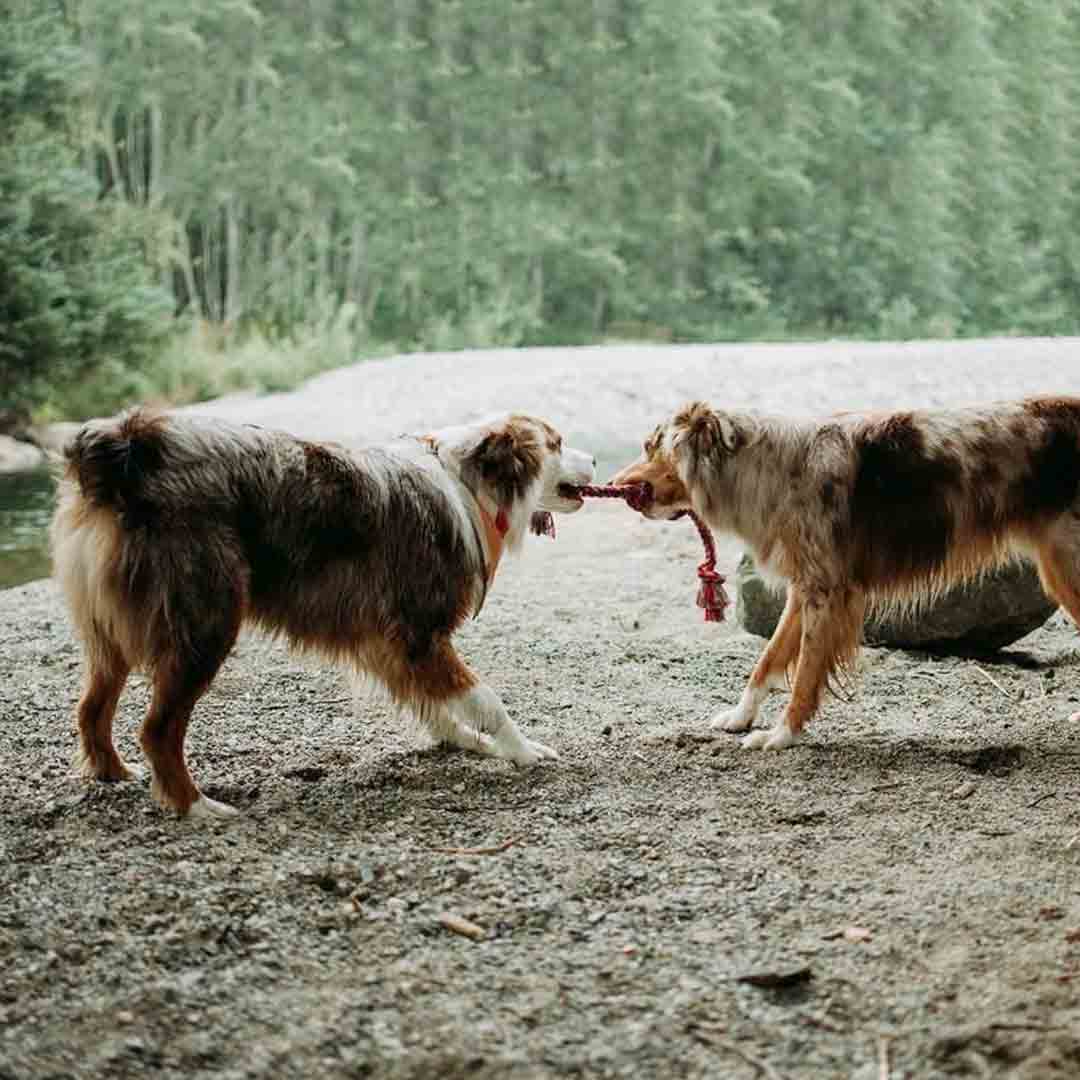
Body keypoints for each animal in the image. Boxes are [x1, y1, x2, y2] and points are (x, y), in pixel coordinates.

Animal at [50, 406, 596, 816]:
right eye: (557, 443)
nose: (594, 458)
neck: (470, 484)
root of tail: (130, 446)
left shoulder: (389, 645)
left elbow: (437, 705)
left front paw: (473, 742)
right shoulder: (418, 633)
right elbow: (485, 699)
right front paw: (521, 750)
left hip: (108, 631)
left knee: (91, 708)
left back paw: (112, 773)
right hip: (205, 622)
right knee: (158, 730)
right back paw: (196, 805)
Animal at [613, 397, 1080, 751]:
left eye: (651, 447)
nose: (615, 484)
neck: (767, 470)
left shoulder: (826, 591)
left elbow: (804, 673)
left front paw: (781, 735)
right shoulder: (805, 587)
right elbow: (768, 660)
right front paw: (741, 716)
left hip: (1064, 569)